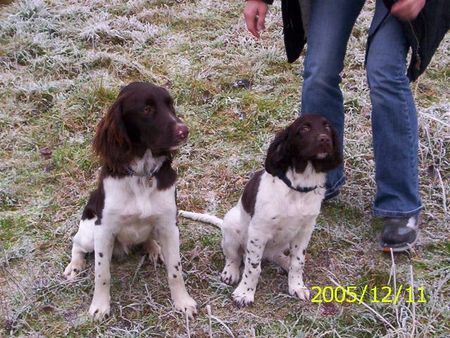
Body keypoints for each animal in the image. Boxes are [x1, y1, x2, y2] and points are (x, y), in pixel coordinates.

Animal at [64, 82, 197, 320]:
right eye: (147, 109)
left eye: (170, 105)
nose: (184, 131)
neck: (142, 176)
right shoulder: (104, 230)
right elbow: (102, 273)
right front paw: (100, 306)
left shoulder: (169, 225)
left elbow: (175, 270)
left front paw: (183, 302)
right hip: (89, 232)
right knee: (77, 243)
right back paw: (74, 265)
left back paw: (154, 248)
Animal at [179, 115, 342, 306]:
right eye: (304, 129)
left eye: (327, 127)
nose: (325, 139)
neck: (297, 189)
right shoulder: (259, 232)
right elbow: (253, 267)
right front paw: (244, 293)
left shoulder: (305, 230)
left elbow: (298, 262)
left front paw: (297, 286)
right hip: (232, 228)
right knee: (233, 256)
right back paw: (231, 272)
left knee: (276, 255)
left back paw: (284, 261)